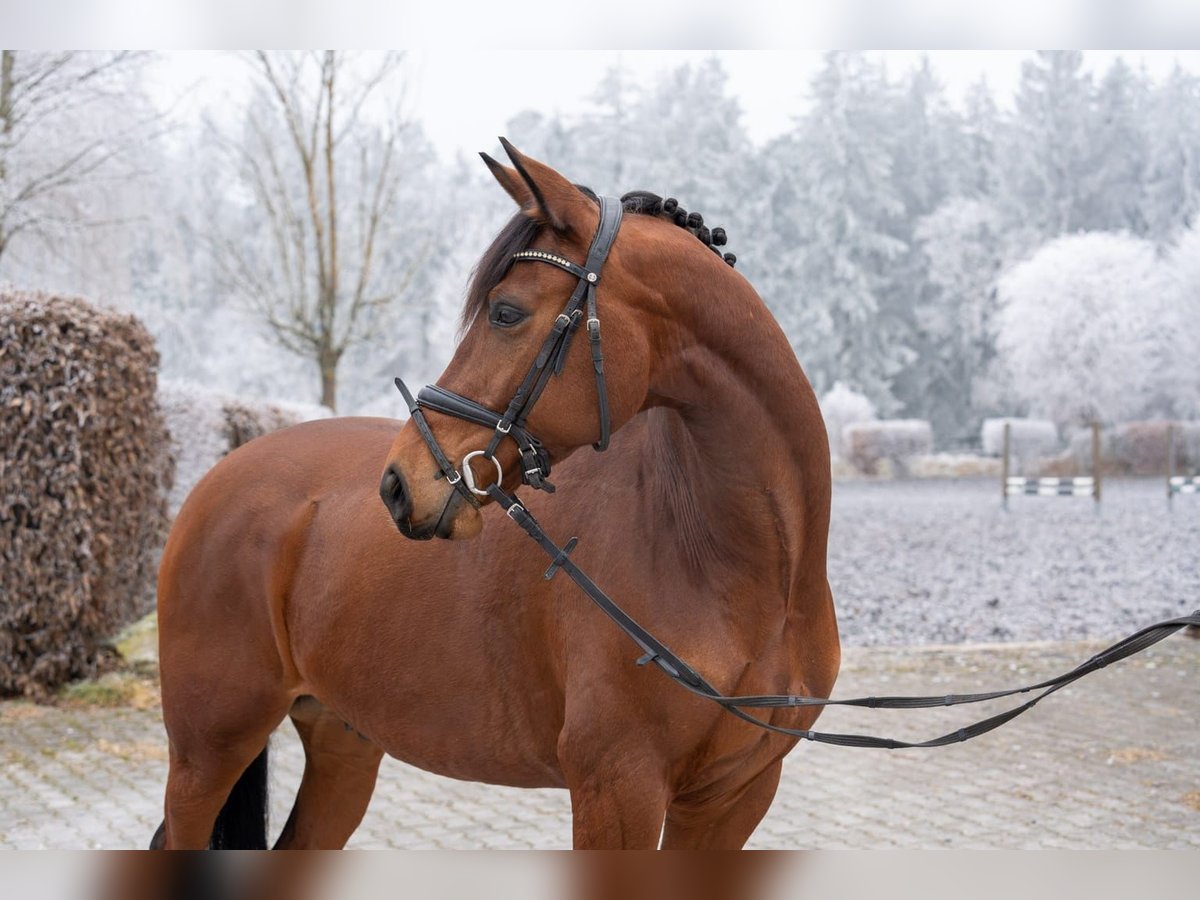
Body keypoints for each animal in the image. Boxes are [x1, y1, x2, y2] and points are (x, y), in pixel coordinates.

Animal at [150, 142, 840, 854]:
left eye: (506, 311)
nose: (399, 484)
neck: (732, 567)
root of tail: (219, 477)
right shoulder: (619, 788)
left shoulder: (735, 797)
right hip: (209, 749)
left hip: (342, 739)